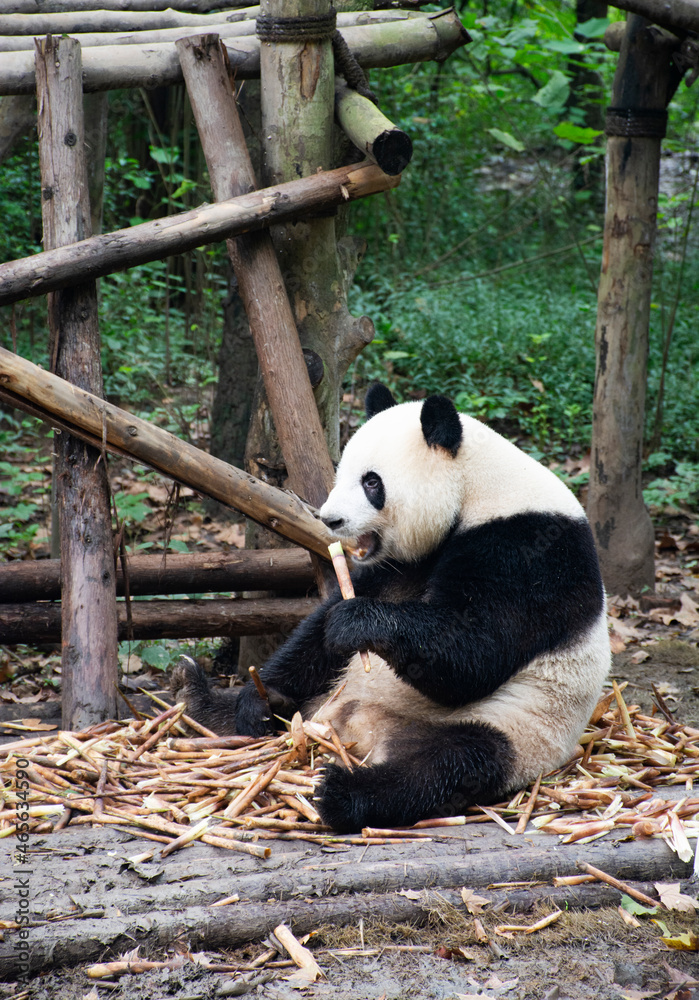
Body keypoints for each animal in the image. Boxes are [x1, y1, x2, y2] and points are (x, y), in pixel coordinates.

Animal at [173, 383, 610, 833]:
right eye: (341, 474)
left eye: (371, 482)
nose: (330, 520)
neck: (476, 486)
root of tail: (357, 728)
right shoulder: (400, 564)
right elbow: (319, 630)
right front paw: (262, 698)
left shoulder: (529, 550)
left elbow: (475, 652)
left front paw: (356, 622)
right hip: (331, 692)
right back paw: (205, 697)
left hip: (516, 725)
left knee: (452, 762)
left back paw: (343, 793)